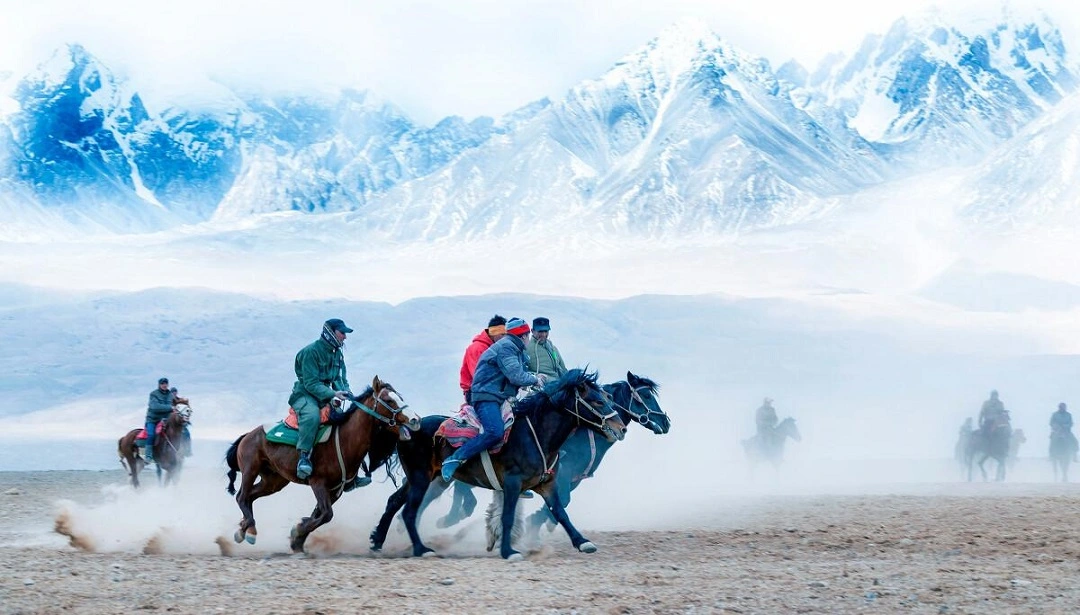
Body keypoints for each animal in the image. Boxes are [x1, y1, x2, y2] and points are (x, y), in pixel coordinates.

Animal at [223, 373, 416, 551]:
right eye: (389, 400)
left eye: (399, 396)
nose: (415, 419)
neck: (344, 439)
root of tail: (247, 435)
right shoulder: (318, 483)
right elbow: (326, 514)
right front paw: (298, 530)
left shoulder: (336, 489)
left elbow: (319, 514)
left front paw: (298, 541)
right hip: (250, 469)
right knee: (242, 496)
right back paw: (249, 532)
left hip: (274, 481)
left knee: (251, 496)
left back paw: (245, 529)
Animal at [369, 369, 626, 562]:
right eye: (597, 401)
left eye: (607, 398)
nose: (620, 427)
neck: (537, 435)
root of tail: (406, 428)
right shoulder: (513, 483)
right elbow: (508, 516)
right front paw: (508, 551)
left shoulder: (547, 484)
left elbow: (561, 512)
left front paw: (583, 542)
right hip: (421, 477)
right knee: (409, 511)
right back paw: (421, 549)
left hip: (420, 477)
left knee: (394, 502)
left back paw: (377, 540)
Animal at [427, 371, 665, 533]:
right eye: (647, 396)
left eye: (607, 399)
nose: (666, 423)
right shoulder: (564, 473)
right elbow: (563, 500)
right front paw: (534, 523)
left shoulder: (569, 478)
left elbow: (561, 502)